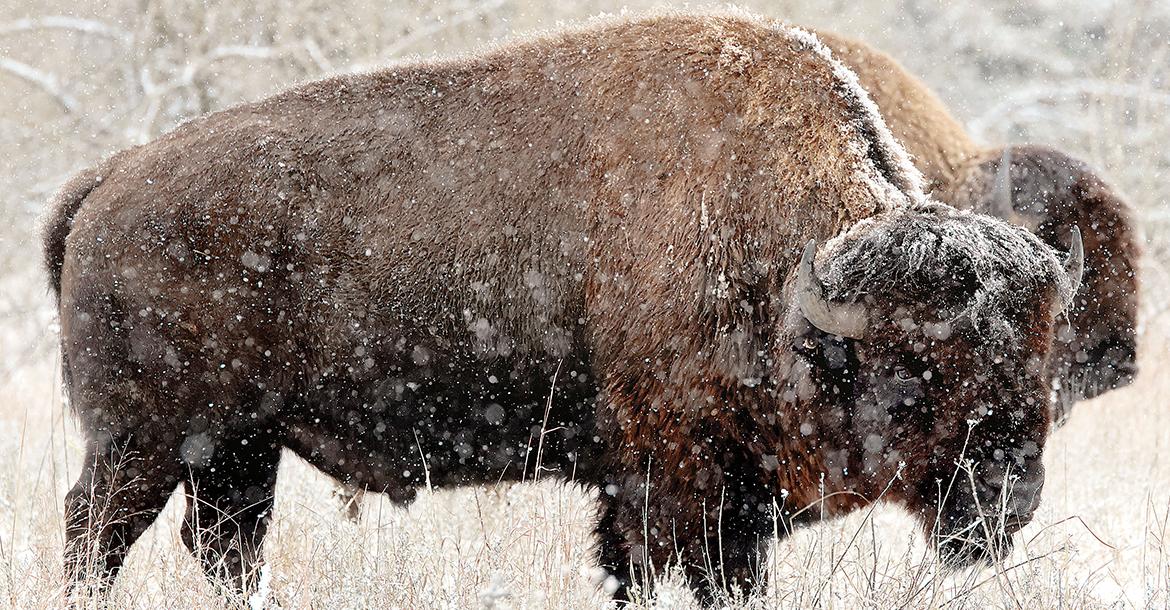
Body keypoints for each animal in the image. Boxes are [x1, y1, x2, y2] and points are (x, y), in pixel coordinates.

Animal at [45, 13, 1081, 603]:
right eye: (917, 371)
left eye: (1039, 364)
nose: (1009, 501)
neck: (790, 280)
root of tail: (105, 184)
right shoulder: (683, 485)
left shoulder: (670, 492)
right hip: (146, 441)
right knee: (96, 534)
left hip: (236, 448)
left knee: (223, 545)